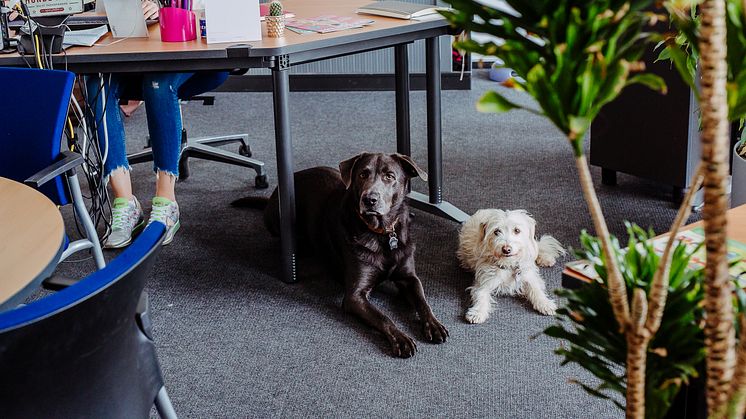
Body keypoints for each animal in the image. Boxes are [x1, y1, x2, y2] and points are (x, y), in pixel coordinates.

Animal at [264, 153, 448, 360]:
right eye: (362, 174)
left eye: (389, 176)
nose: (369, 199)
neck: (382, 233)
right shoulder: (355, 296)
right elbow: (383, 316)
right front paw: (401, 339)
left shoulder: (409, 277)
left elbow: (423, 301)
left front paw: (434, 325)